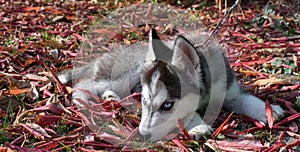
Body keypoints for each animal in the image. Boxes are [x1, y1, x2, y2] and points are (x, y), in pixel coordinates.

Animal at [58, 28, 284, 141]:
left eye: (167, 104)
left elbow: (247, 99)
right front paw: (199, 126)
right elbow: (189, 113)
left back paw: (111, 97)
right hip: (125, 74)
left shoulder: (228, 91)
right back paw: (84, 102)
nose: (143, 135)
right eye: (145, 101)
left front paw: (268, 110)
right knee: (83, 84)